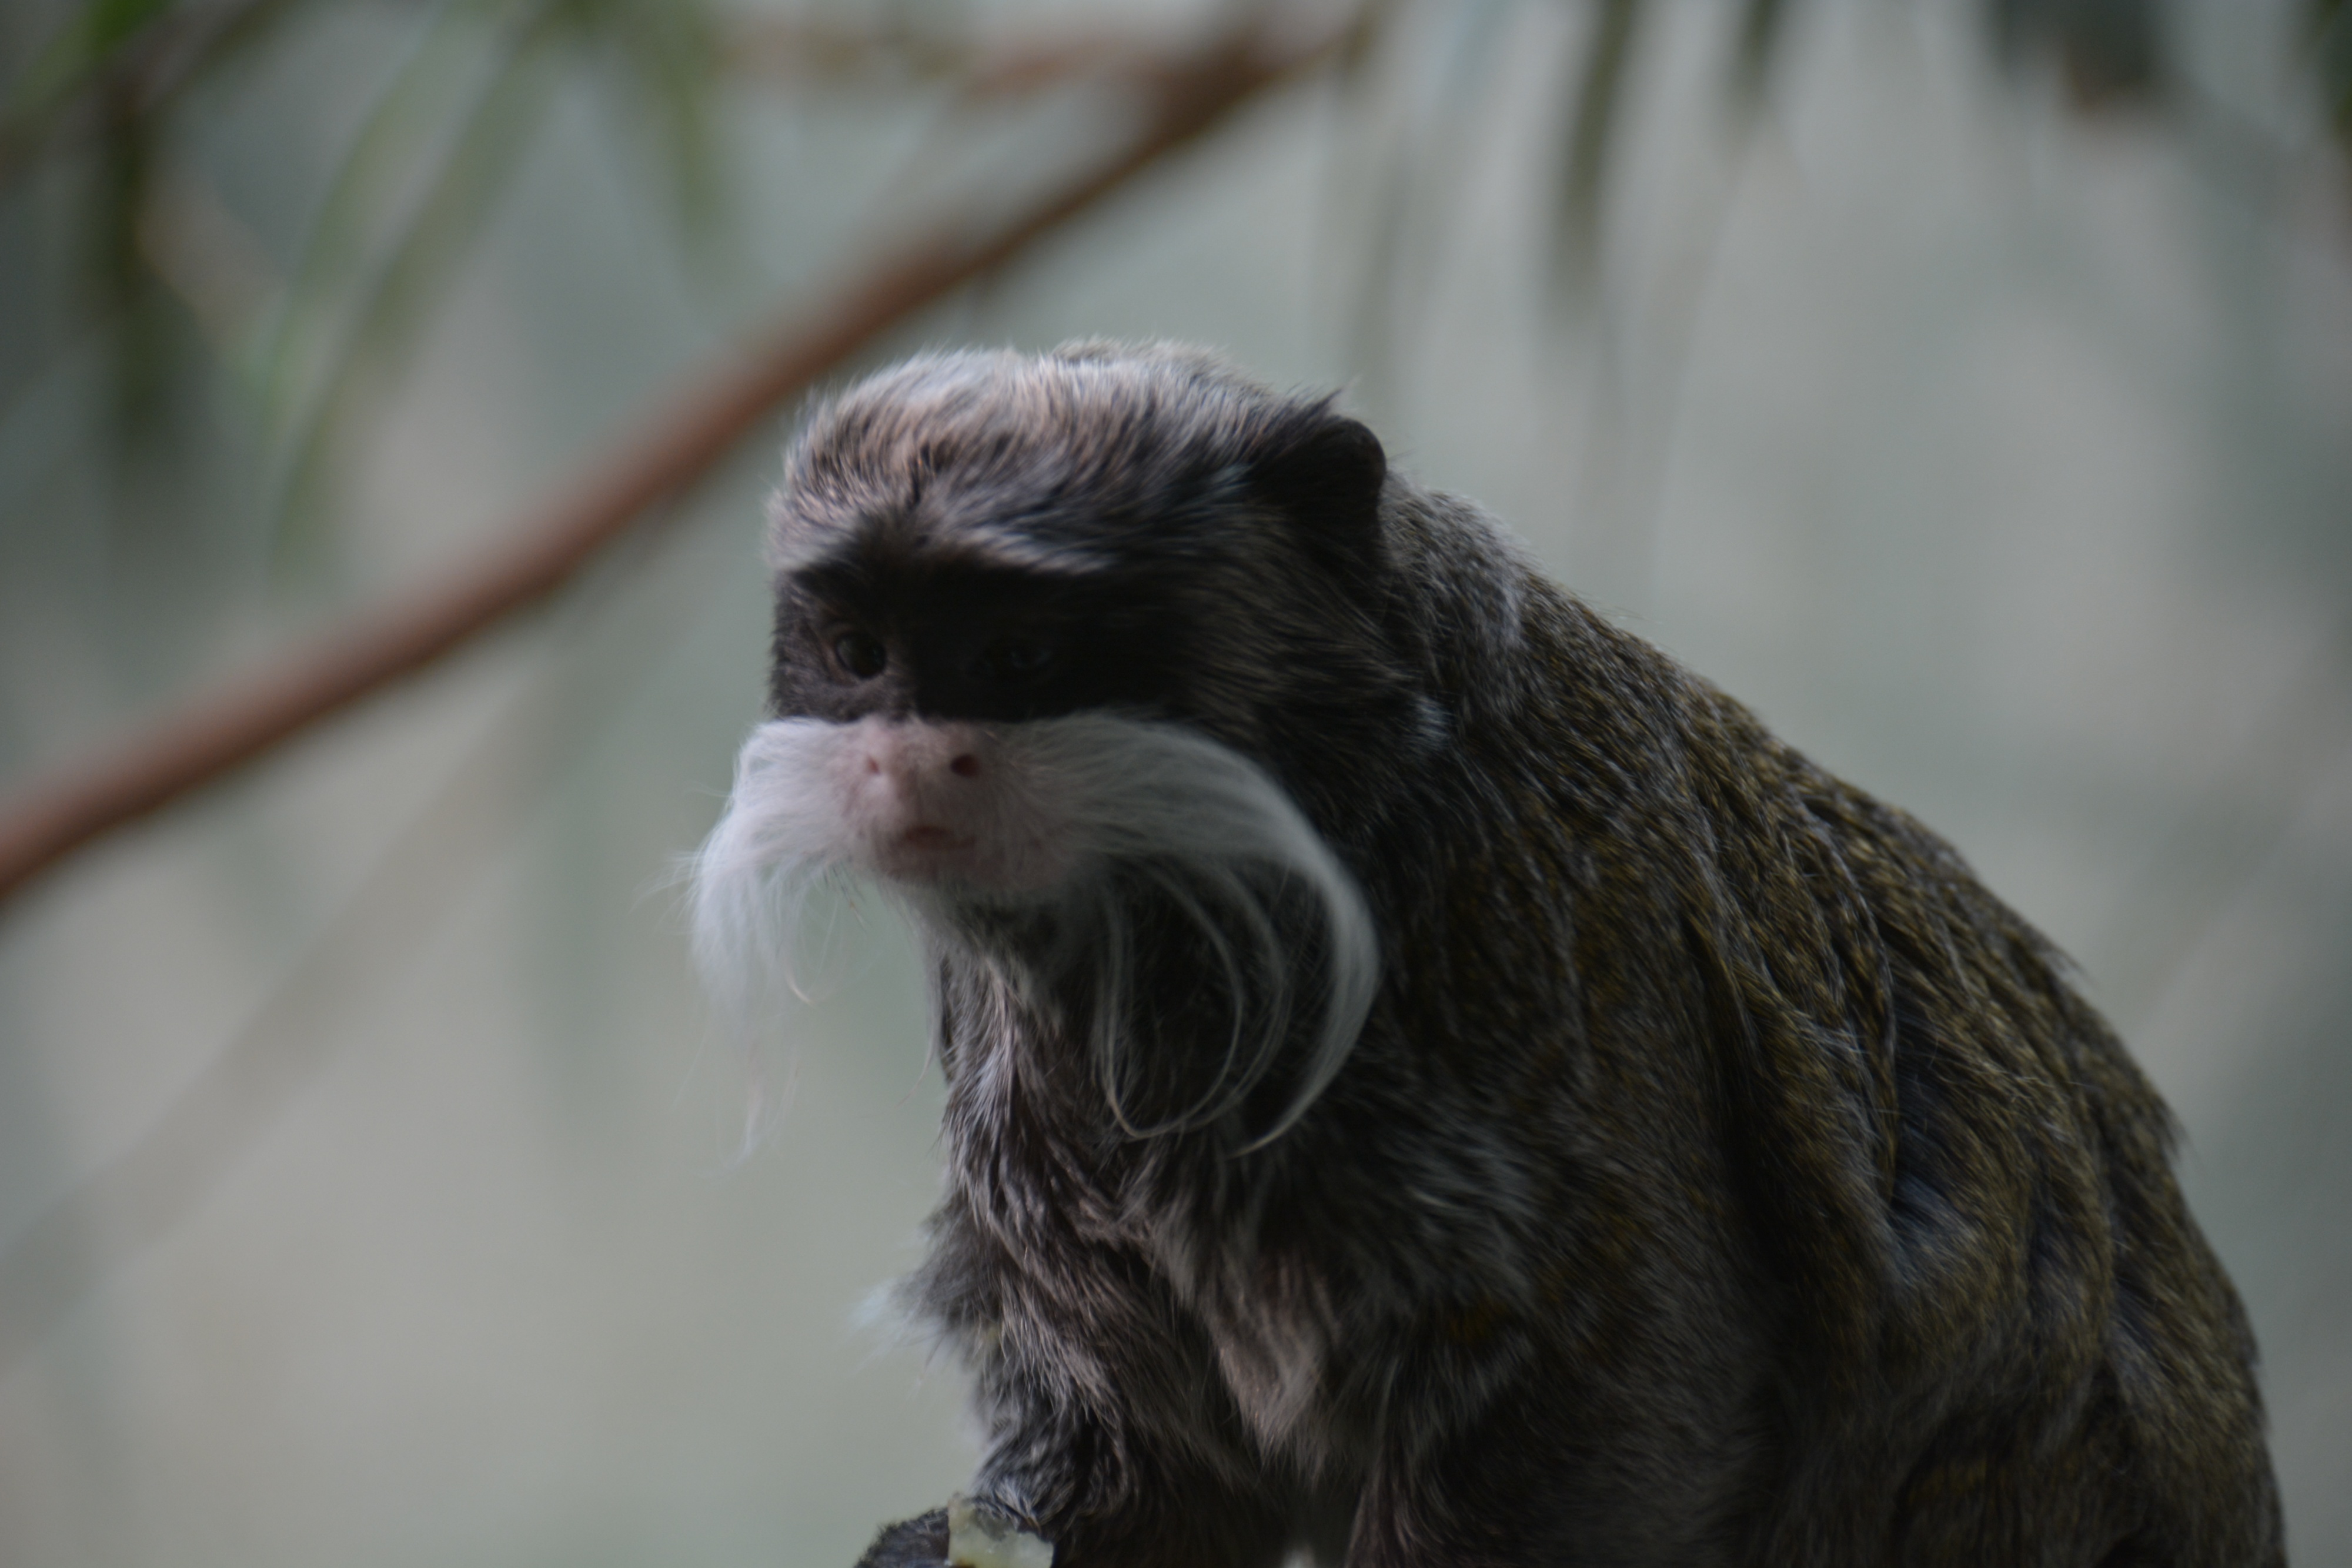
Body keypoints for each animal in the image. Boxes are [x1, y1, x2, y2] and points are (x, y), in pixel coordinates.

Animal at [687, 338, 2286, 1561]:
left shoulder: (1532, 947)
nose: (909, 762)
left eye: (1017, 659)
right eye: (862, 652)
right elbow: (1148, 1459)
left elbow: (1626, 1399)